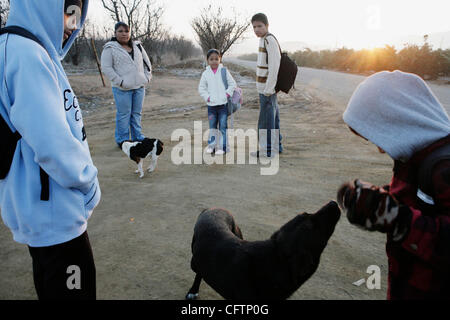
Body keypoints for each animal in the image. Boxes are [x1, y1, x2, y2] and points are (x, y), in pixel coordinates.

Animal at [187, 202, 342, 300]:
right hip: (194, 262)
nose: (334, 202)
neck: (276, 259)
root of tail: (210, 209)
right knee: (198, 272)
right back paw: (193, 291)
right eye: (313, 225)